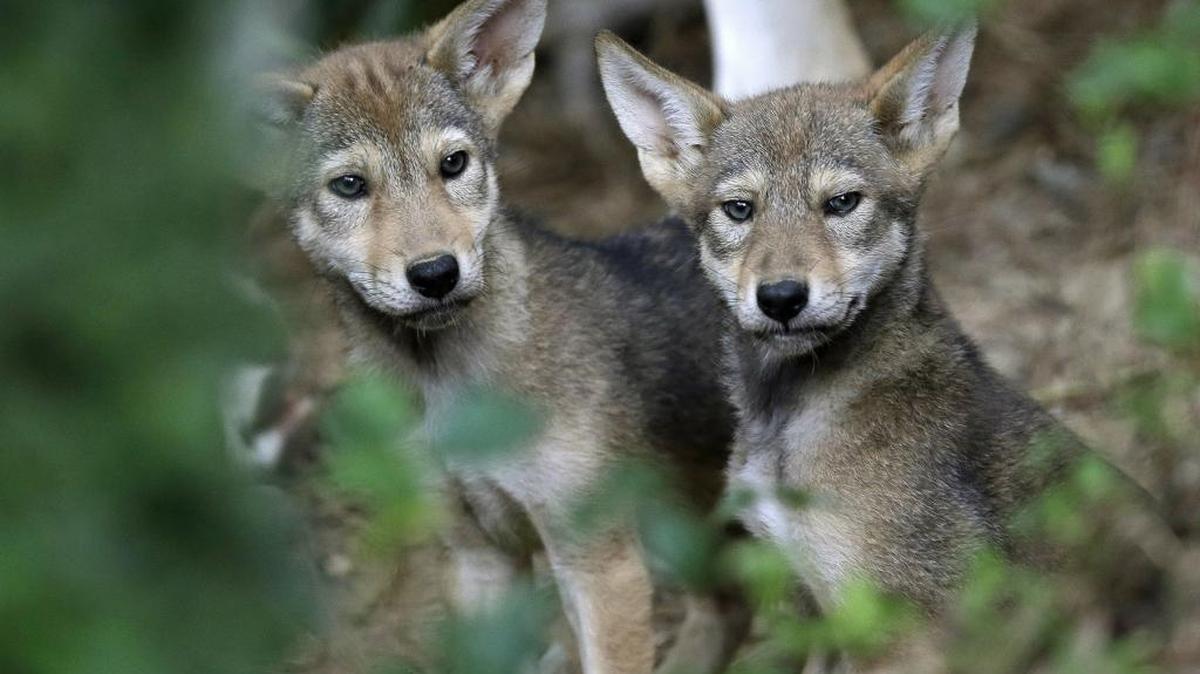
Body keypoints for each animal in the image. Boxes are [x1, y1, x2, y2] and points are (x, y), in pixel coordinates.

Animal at [256, 0, 748, 671]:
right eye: (349, 185)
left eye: (454, 164)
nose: (435, 274)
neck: (448, 387)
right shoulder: (478, 555)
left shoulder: (599, 560)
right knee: (731, 609)